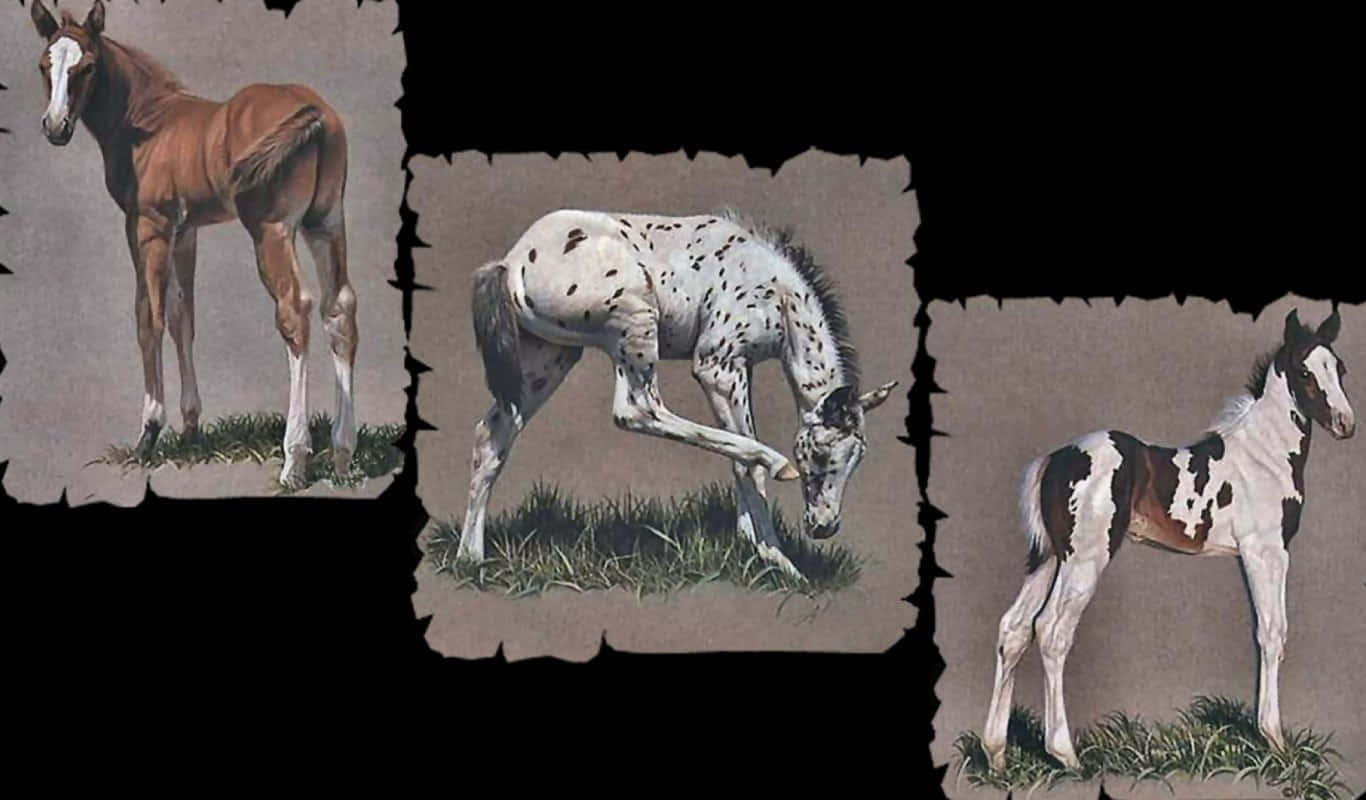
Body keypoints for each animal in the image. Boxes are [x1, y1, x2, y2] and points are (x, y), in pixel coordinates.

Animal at [28, 0, 358, 488]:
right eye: (44, 65)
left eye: (86, 67)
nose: (55, 127)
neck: (146, 120)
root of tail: (315, 111)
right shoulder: (186, 231)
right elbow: (184, 316)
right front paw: (190, 429)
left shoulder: (147, 226)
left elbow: (148, 316)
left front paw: (149, 432)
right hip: (326, 223)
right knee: (340, 309)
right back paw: (341, 454)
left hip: (272, 230)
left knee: (295, 310)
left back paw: (294, 461)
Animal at [457, 208, 899, 580]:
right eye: (821, 454)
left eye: (858, 458)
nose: (824, 527)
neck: (776, 293)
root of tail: (511, 263)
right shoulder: (717, 365)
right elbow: (746, 461)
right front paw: (779, 561)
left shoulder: (742, 368)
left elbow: (736, 458)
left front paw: (752, 545)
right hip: (634, 324)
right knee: (636, 410)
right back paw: (776, 463)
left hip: (549, 357)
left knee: (493, 434)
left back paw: (470, 559)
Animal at [981, 308, 1356, 771]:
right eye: (1305, 372)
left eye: (1339, 368)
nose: (1345, 424)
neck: (1262, 457)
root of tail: (1053, 461)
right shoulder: (1267, 551)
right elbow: (1273, 633)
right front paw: (1275, 740)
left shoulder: (1245, 555)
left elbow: (1259, 630)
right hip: (1085, 558)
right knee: (1051, 631)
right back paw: (1066, 755)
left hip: (1049, 557)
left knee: (1013, 629)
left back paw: (996, 755)